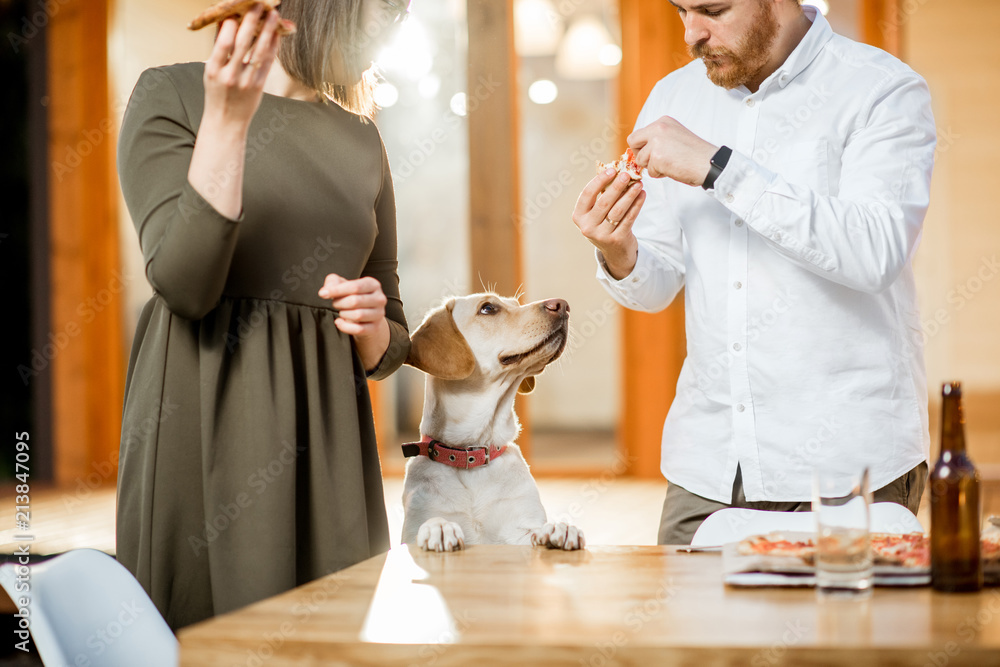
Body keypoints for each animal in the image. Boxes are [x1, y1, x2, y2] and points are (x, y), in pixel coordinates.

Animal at [400, 294, 584, 552]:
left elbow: (535, 532)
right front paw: (439, 527)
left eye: (516, 304)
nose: (563, 305)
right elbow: (428, 525)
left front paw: (559, 528)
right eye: (488, 308)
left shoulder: (518, 531)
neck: (472, 453)